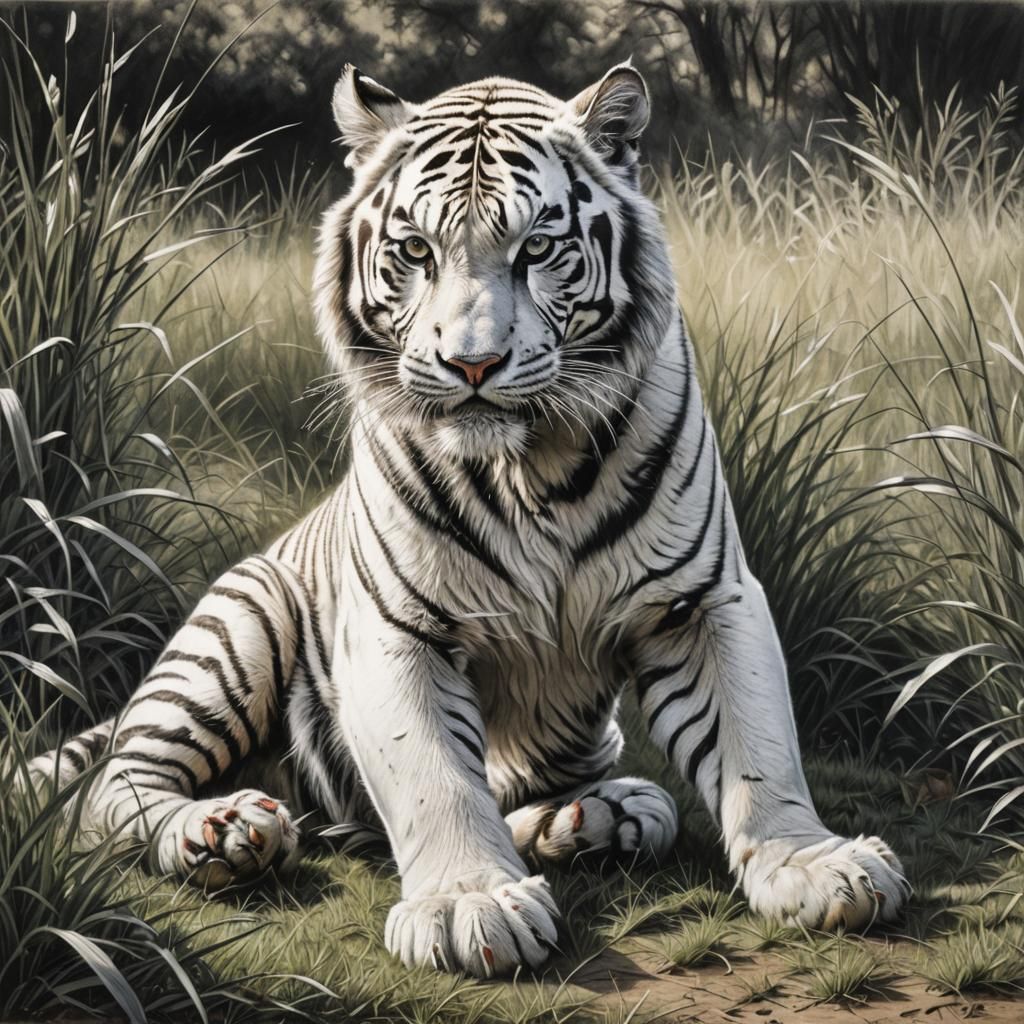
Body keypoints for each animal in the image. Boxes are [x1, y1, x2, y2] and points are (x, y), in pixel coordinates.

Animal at [27, 62, 910, 978]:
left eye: (538, 249)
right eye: (416, 250)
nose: (473, 364)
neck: (534, 469)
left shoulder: (702, 599)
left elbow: (756, 746)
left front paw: (815, 864)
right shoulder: (394, 628)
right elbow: (437, 778)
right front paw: (468, 906)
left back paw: (598, 816)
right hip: (239, 630)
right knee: (114, 786)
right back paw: (227, 828)